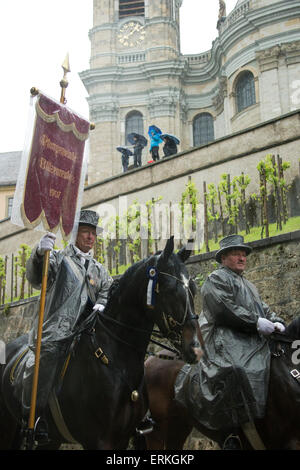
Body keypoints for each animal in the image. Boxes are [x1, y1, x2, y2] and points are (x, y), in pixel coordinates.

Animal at [0, 239, 202, 452]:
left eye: (193, 288)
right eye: (170, 289)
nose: (195, 348)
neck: (117, 358)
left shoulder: (122, 438)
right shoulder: (99, 440)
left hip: (48, 440)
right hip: (7, 427)